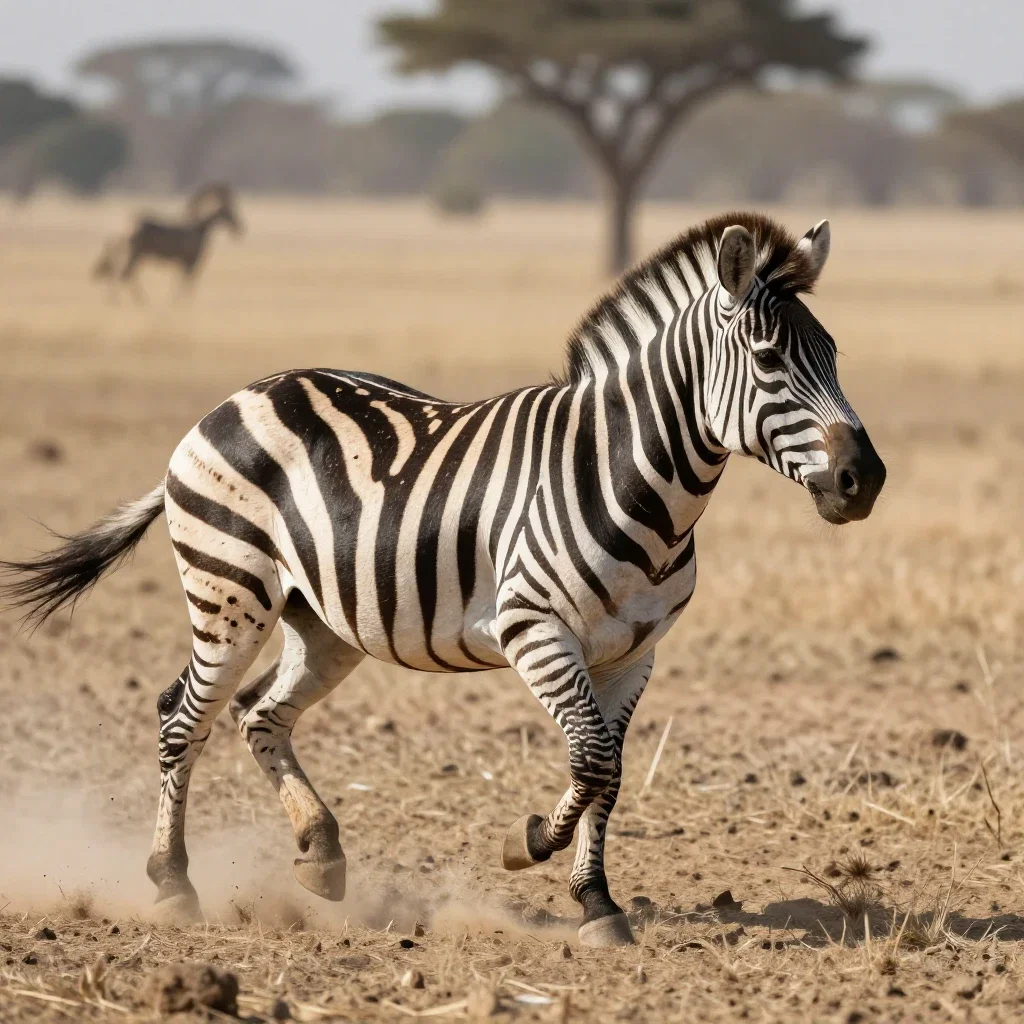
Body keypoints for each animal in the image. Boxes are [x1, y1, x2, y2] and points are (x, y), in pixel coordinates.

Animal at [1, 212, 885, 947]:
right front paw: (528, 844)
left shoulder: (634, 653)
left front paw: (597, 902)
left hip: (323, 621)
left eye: (836, 356)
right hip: (230, 594)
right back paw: (173, 883)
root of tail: (232, 399)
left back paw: (319, 852)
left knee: (260, 717)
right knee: (182, 718)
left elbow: (611, 772)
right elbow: (591, 760)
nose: (865, 480)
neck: (631, 475)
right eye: (769, 360)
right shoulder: (535, 631)